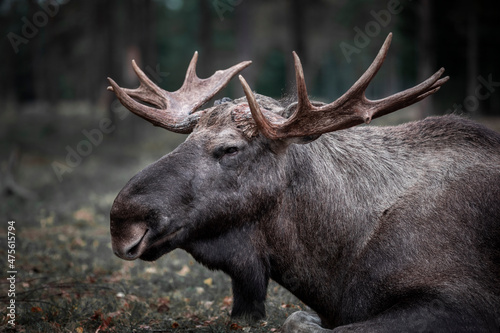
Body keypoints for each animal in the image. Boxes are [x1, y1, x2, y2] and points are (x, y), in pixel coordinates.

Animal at [109, 34, 500, 332]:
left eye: (230, 148)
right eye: (187, 139)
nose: (122, 220)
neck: (333, 270)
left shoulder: (463, 301)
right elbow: (296, 317)